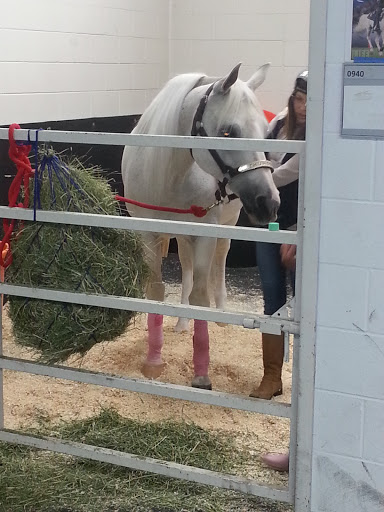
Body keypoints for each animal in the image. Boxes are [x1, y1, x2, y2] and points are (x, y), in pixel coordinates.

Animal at [122, 63, 280, 388]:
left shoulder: (206, 234)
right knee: (186, 269)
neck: (169, 174)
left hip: (224, 230)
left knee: (218, 265)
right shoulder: (148, 235)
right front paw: (153, 360)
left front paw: (201, 373)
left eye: (265, 131)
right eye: (228, 132)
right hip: (183, 237)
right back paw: (182, 323)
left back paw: (220, 318)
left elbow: (200, 296)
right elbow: (156, 291)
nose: (269, 202)